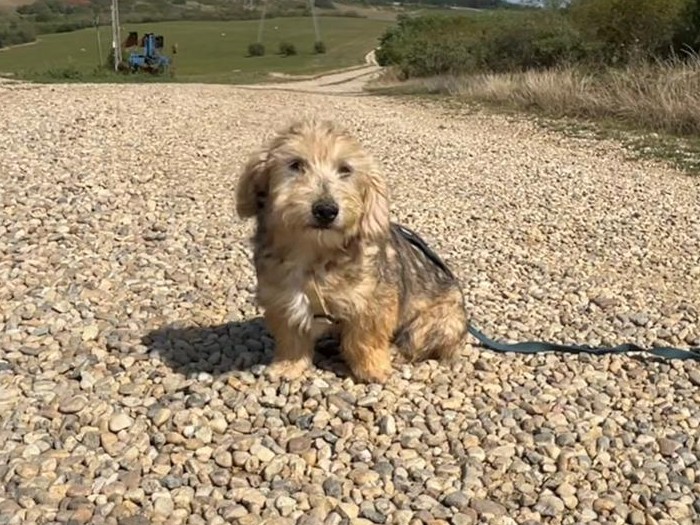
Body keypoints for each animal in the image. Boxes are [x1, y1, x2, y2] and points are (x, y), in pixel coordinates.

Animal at [235, 118, 468, 383]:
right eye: (295, 164)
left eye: (346, 169)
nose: (326, 210)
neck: (315, 255)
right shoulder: (283, 301)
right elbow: (291, 340)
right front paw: (288, 366)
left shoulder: (373, 305)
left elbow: (364, 341)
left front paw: (373, 369)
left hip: (437, 321)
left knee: (414, 343)